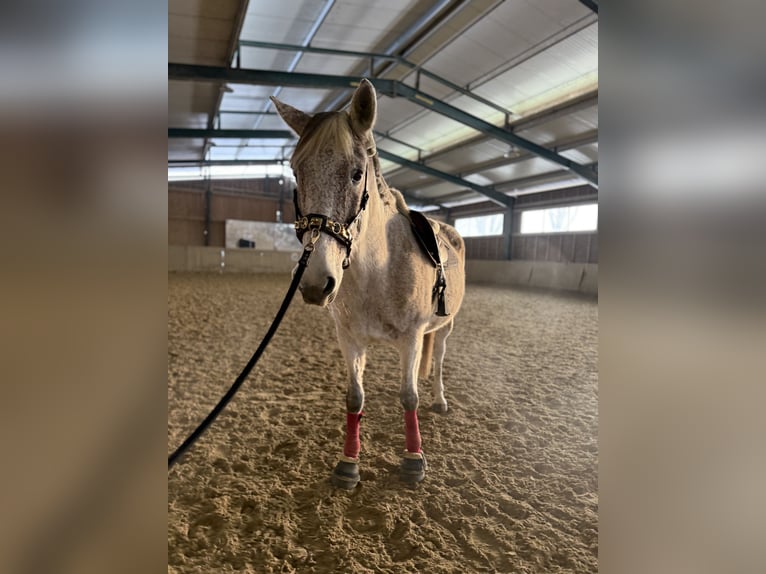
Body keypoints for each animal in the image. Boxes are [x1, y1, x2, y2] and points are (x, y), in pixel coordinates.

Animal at [271, 79, 466, 488]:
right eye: (296, 172)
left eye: (357, 173)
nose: (316, 283)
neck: (377, 270)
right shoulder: (350, 338)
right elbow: (354, 397)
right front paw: (349, 464)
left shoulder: (411, 336)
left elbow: (409, 397)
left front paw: (413, 460)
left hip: (445, 327)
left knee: (439, 361)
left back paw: (439, 400)